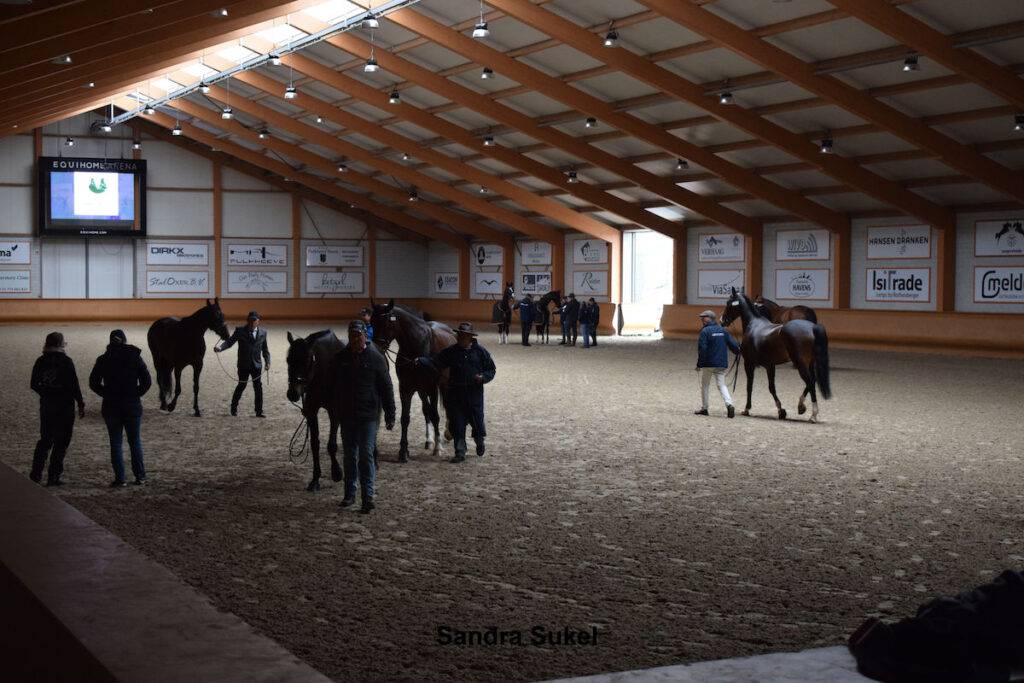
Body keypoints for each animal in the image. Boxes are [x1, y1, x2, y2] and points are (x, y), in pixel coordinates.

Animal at [286, 330, 344, 492]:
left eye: (307, 360)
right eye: (288, 360)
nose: (292, 393)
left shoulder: (334, 411)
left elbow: (331, 445)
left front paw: (337, 473)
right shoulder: (311, 411)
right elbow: (314, 444)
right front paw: (315, 479)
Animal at [370, 299, 457, 462]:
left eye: (387, 323)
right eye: (371, 322)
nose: (376, 348)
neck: (417, 350)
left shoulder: (432, 388)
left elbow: (436, 415)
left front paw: (438, 448)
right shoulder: (406, 388)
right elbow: (405, 418)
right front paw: (403, 451)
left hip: (444, 384)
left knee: (446, 406)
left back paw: (447, 434)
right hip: (421, 389)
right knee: (426, 410)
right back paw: (429, 440)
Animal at [720, 288, 832, 423]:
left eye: (728, 303)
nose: (722, 320)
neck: (753, 325)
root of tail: (812, 327)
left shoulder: (749, 364)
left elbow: (749, 386)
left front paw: (747, 409)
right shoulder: (770, 365)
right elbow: (772, 387)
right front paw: (781, 411)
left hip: (800, 363)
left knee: (810, 382)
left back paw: (813, 415)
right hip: (810, 363)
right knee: (812, 381)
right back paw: (801, 406)